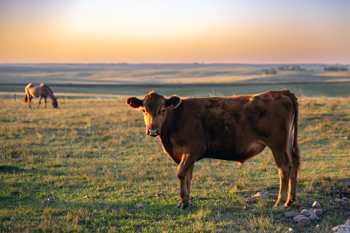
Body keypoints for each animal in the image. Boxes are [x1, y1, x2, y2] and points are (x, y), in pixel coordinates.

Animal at [127, 89, 300, 209]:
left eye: (163, 110)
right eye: (144, 110)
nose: (152, 130)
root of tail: (281, 93)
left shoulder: (194, 148)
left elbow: (181, 173)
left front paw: (183, 202)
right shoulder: (186, 154)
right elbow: (187, 176)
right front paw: (186, 201)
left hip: (278, 144)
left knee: (284, 167)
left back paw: (279, 202)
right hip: (287, 144)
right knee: (294, 164)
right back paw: (290, 200)